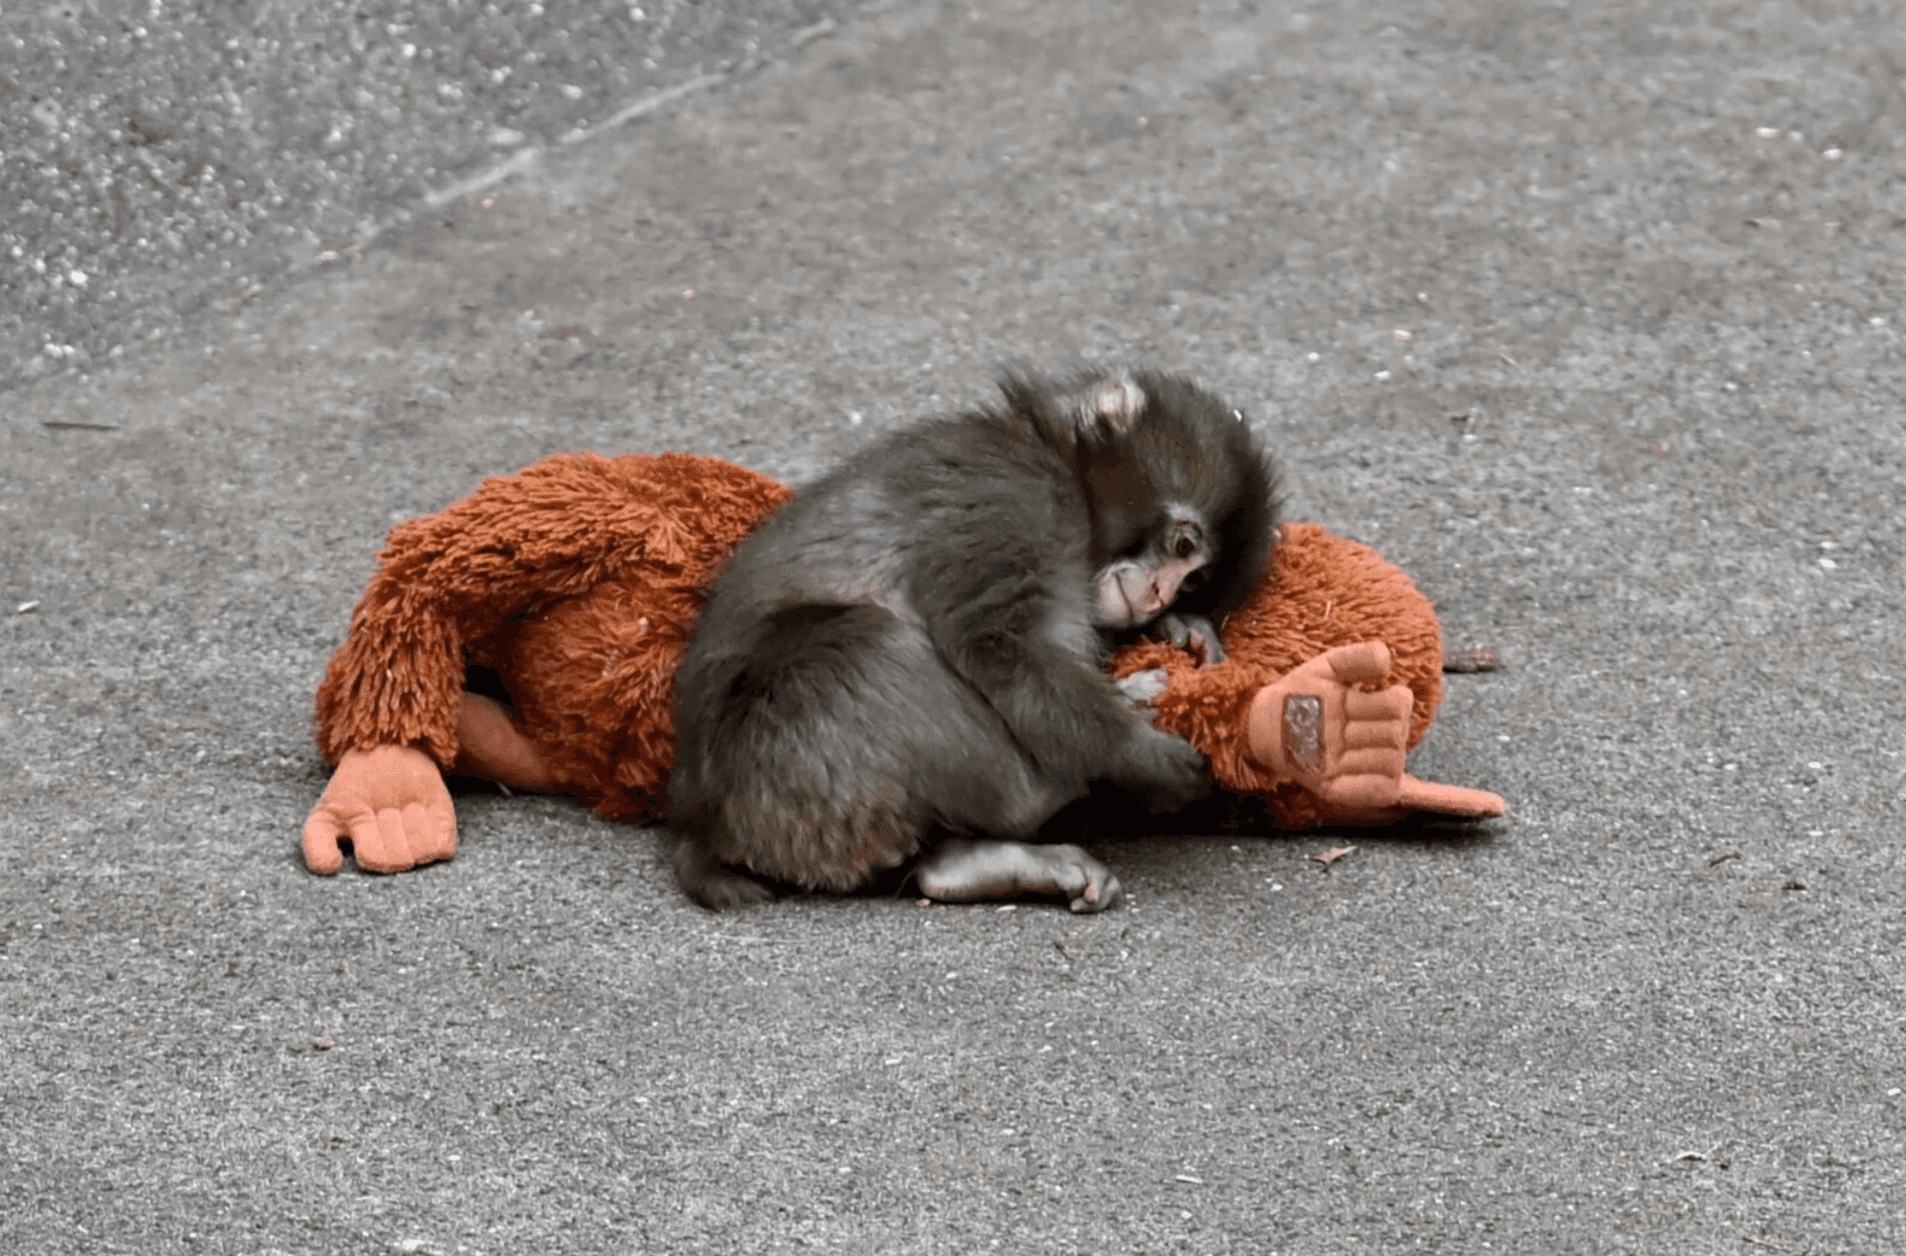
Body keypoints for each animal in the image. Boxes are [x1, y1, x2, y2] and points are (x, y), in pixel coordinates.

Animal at [665, 367, 1279, 913]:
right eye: (1182, 547)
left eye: (1194, 580)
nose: (1158, 596)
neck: (1060, 467)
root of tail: (704, 828)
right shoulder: (1015, 497)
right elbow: (999, 643)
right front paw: (1142, 755)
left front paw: (1179, 629)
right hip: (782, 768)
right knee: (866, 644)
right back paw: (1056, 788)